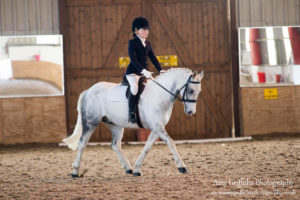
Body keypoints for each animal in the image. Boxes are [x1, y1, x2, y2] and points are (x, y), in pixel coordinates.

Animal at [63, 68, 204, 177]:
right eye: (191, 90)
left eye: (199, 91)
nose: (191, 112)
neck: (159, 95)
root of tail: (88, 91)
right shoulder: (157, 127)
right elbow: (170, 142)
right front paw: (182, 167)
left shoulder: (156, 128)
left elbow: (147, 147)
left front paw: (137, 169)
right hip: (91, 122)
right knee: (82, 143)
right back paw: (75, 171)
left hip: (115, 125)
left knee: (115, 145)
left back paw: (128, 168)